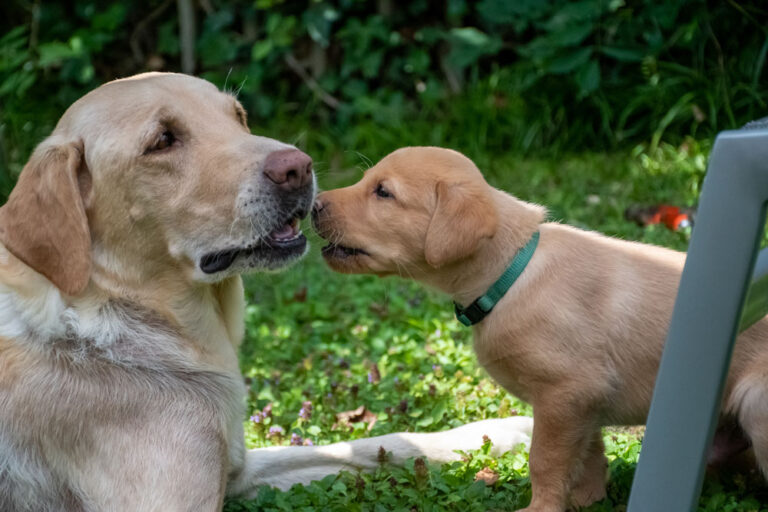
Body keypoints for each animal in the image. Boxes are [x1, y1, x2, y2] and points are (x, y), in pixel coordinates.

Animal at [0, 76, 536, 512]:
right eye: (162, 141)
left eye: (237, 116)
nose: (299, 167)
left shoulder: (237, 468)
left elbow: (374, 444)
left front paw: (505, 431)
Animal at [310, 145, 768, 512]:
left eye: (383, 192)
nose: (313, 205)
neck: (509, 274)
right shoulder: (584, 403)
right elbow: (588, 456)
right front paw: (586, 500)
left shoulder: (566, 392)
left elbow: (545, 460)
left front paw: (542, 508)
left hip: (756, 403)